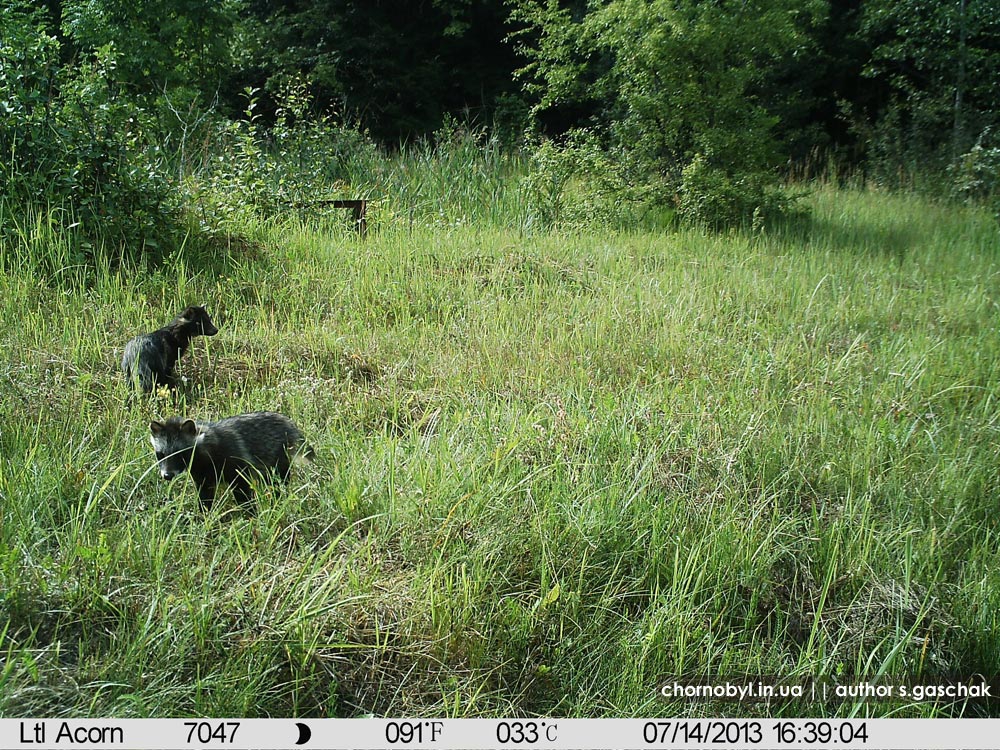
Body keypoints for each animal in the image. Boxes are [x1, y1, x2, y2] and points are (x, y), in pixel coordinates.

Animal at [149, 412, 308, 512]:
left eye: (180, 454)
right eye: (161, 454)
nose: (167, 476)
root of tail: (286, 421)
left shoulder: (236, 462)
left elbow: (242, 491)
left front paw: (250, 514)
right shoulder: (201, 475)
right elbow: (205, 496)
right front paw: (204, 517)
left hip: (278, 456)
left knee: (278, 480)